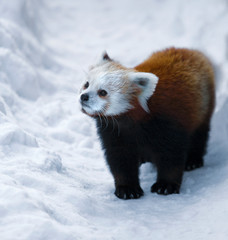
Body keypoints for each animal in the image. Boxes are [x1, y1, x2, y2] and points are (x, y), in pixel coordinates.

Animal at [79, 47, 215, 200]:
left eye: (103, 92)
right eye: (86, 84)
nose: (84, 97)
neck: (132, 122)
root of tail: (190, 50)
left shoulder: (169, 124)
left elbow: (172, 156)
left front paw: (165, 185)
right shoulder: (114, 132)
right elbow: (120, 159)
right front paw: (127, 188)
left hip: (203, 109)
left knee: (199, 135)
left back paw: (193, 161)